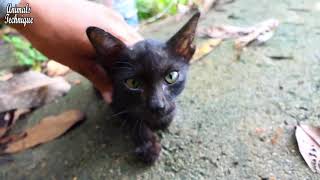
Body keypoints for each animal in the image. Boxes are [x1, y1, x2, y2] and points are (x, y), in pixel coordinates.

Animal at [85, 11, 200, 164]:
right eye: (133, 83)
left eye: (171, 76)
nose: (157, 106)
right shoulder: (114, 100)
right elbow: (134, 118)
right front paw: (148, 146)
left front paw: (164, 119)